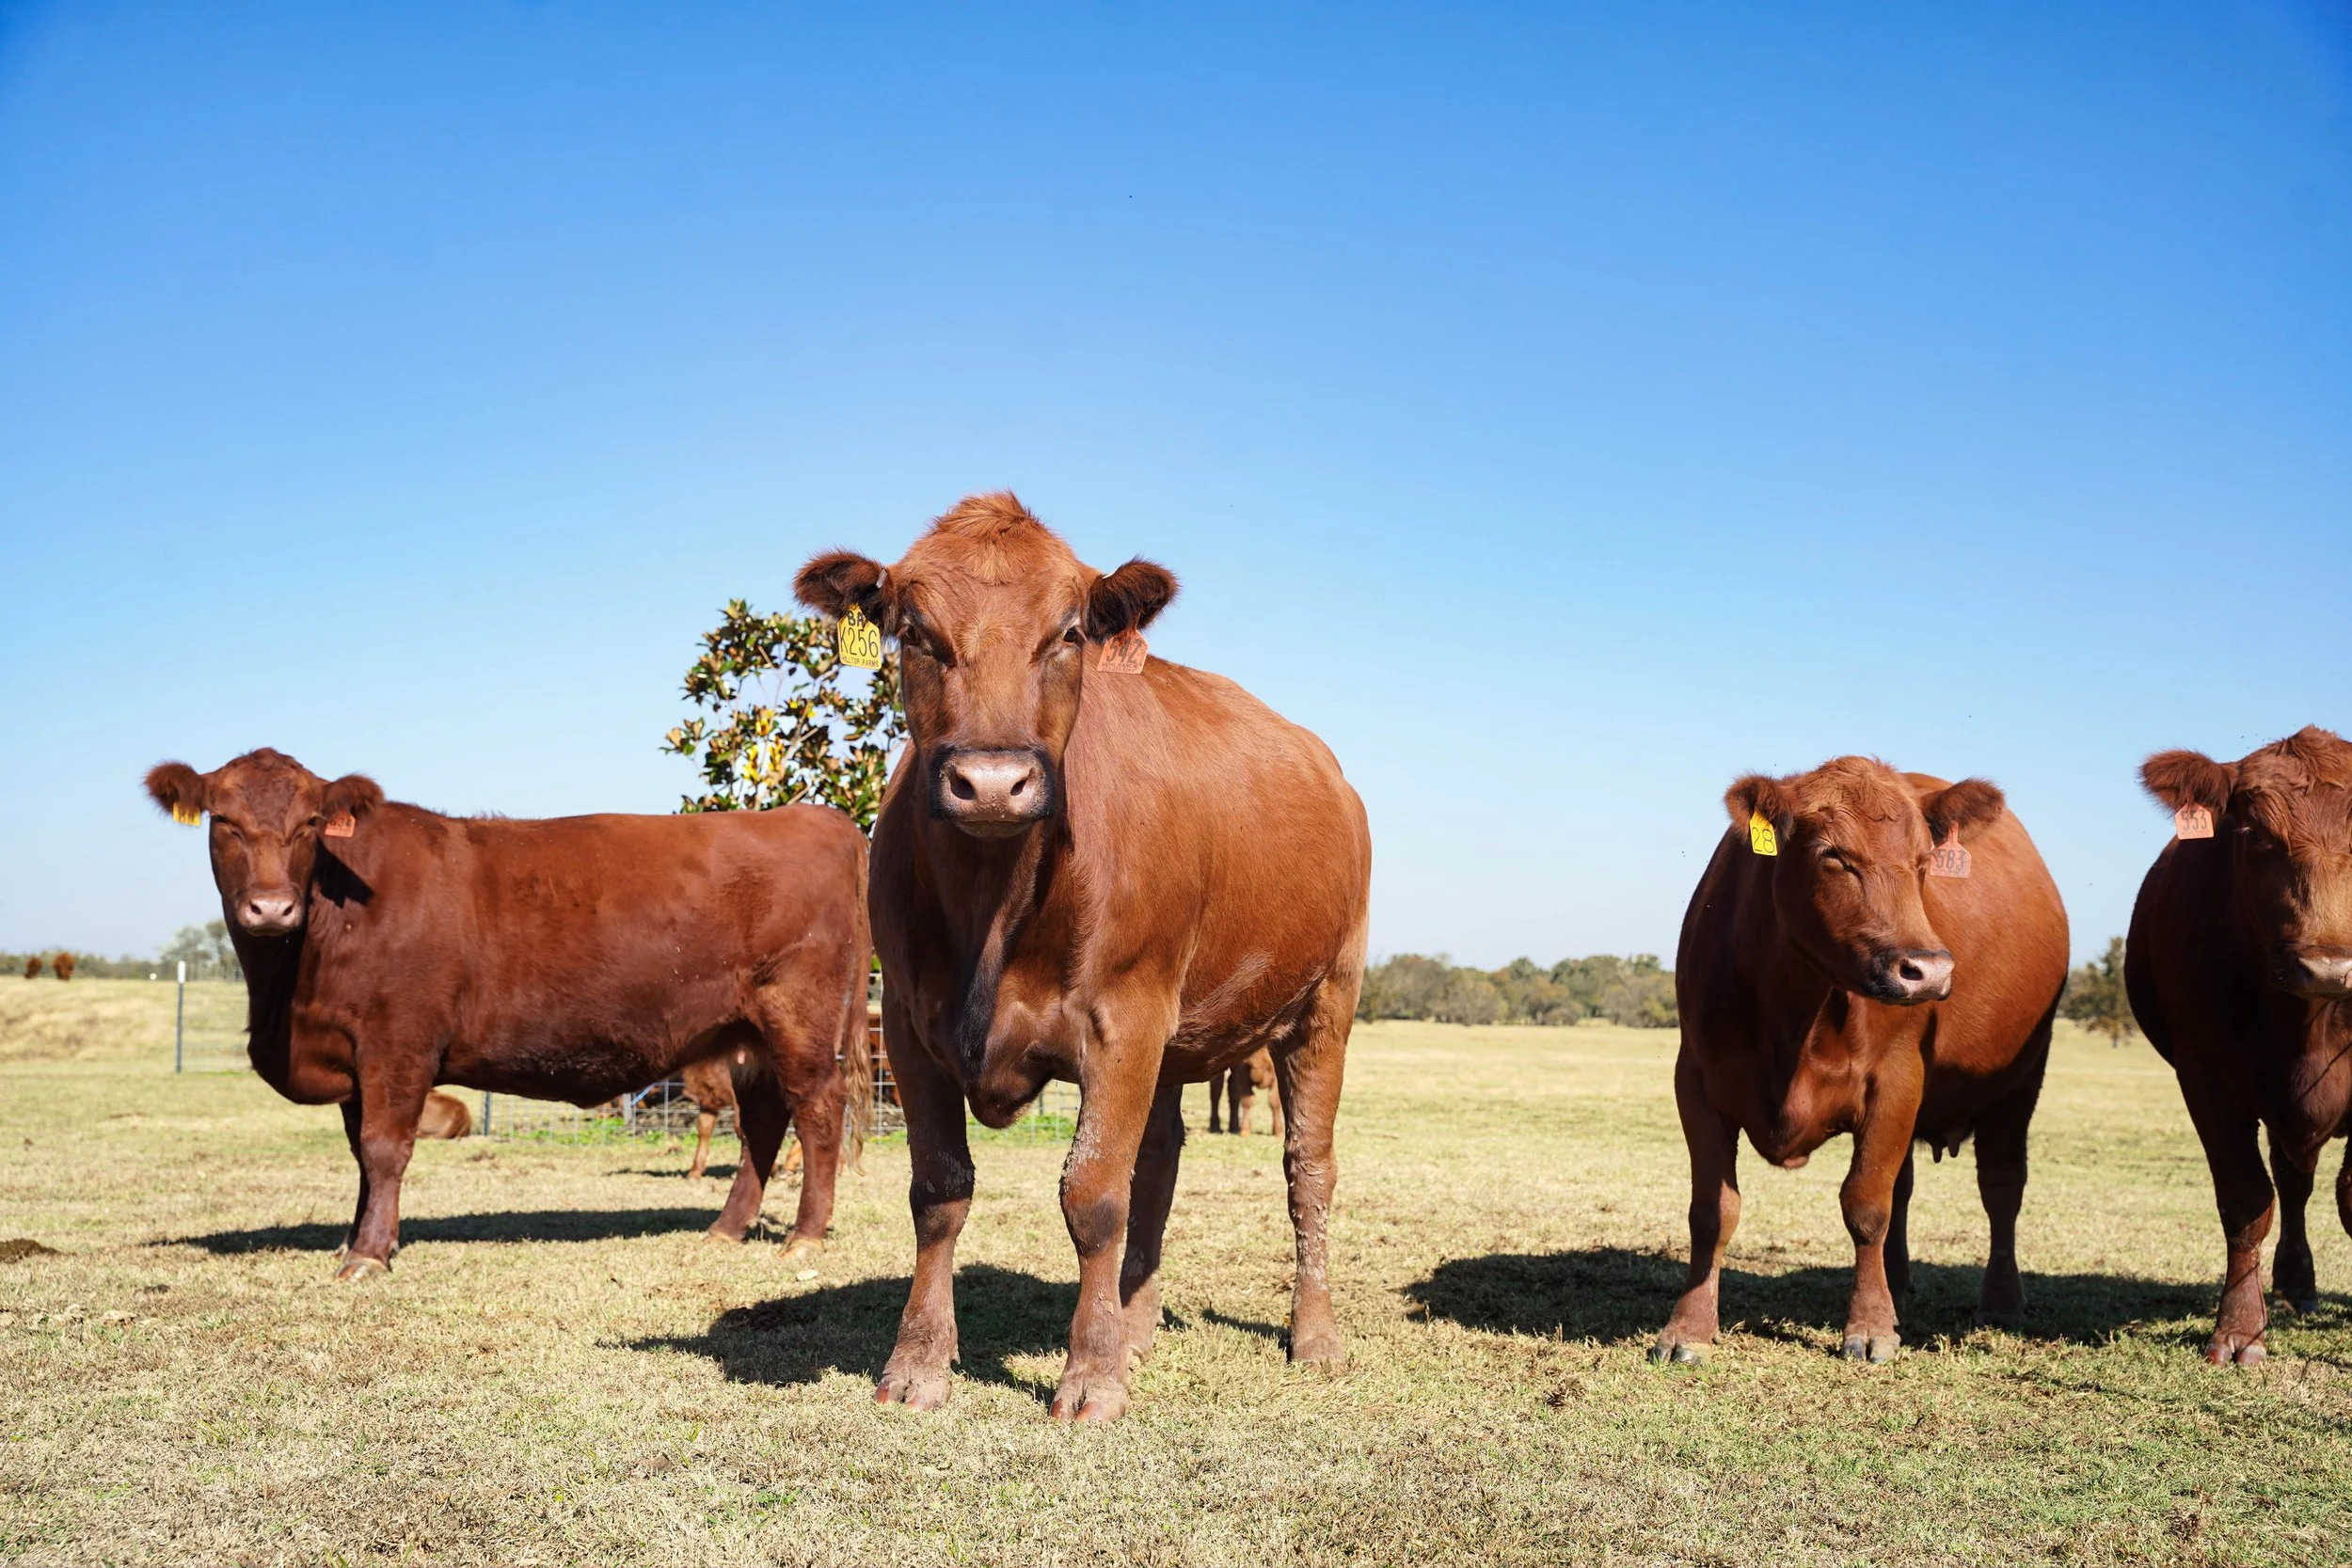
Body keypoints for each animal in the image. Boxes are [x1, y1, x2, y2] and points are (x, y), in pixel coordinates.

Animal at [142, 748, 872, 1279]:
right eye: (224, 822)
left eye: (310, 826)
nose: (271, 907)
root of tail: (815, 817)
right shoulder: (355, 1056)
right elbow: (359, 1155)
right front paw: (358, 1239)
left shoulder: (397, 1041)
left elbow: (383, 1149)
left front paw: (368, 1255)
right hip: (748, 1034)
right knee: (764, 1121)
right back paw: (725, 1229)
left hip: (798, 1016)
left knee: (817, 1110)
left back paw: (805, 1236)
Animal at [794, 492, 1371, 1423]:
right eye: (913, 631)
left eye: (1068, 632)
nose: (993, 783)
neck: (995, 905)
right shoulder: (912, 1029)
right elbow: (939, 1190)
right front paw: (919, 1362)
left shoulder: (1122, 1019)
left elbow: (1093, 1191)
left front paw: (1091, 1376)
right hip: (1179, 1033)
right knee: (1162, 1157)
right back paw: (1135, 1324)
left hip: (1326, 1003)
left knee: (1307, 1168)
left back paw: (1313, 1335)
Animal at [1654, 756, 2068, 1365]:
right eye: (1833, 855)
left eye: (1924, 862)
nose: (1928, 970)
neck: (1792, 1011)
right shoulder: (1698, 1081)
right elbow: (1712, 1211)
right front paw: (1689, 1328)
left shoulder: (1895, 1082)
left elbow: (1866, 1205)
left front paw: (1870, 1326)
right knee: (1907, 1188)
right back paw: (1897, 1286)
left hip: (2020, 1082)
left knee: (2002, 1189)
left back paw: (2000, 1302)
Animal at [2126, 725, 2352, 1366]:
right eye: (2254, 834)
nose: (2328, 967)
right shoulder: (2207, 1079)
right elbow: (2247, 1200)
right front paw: (2239, 1331)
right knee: (2293, 1183)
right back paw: (2295, 1285)